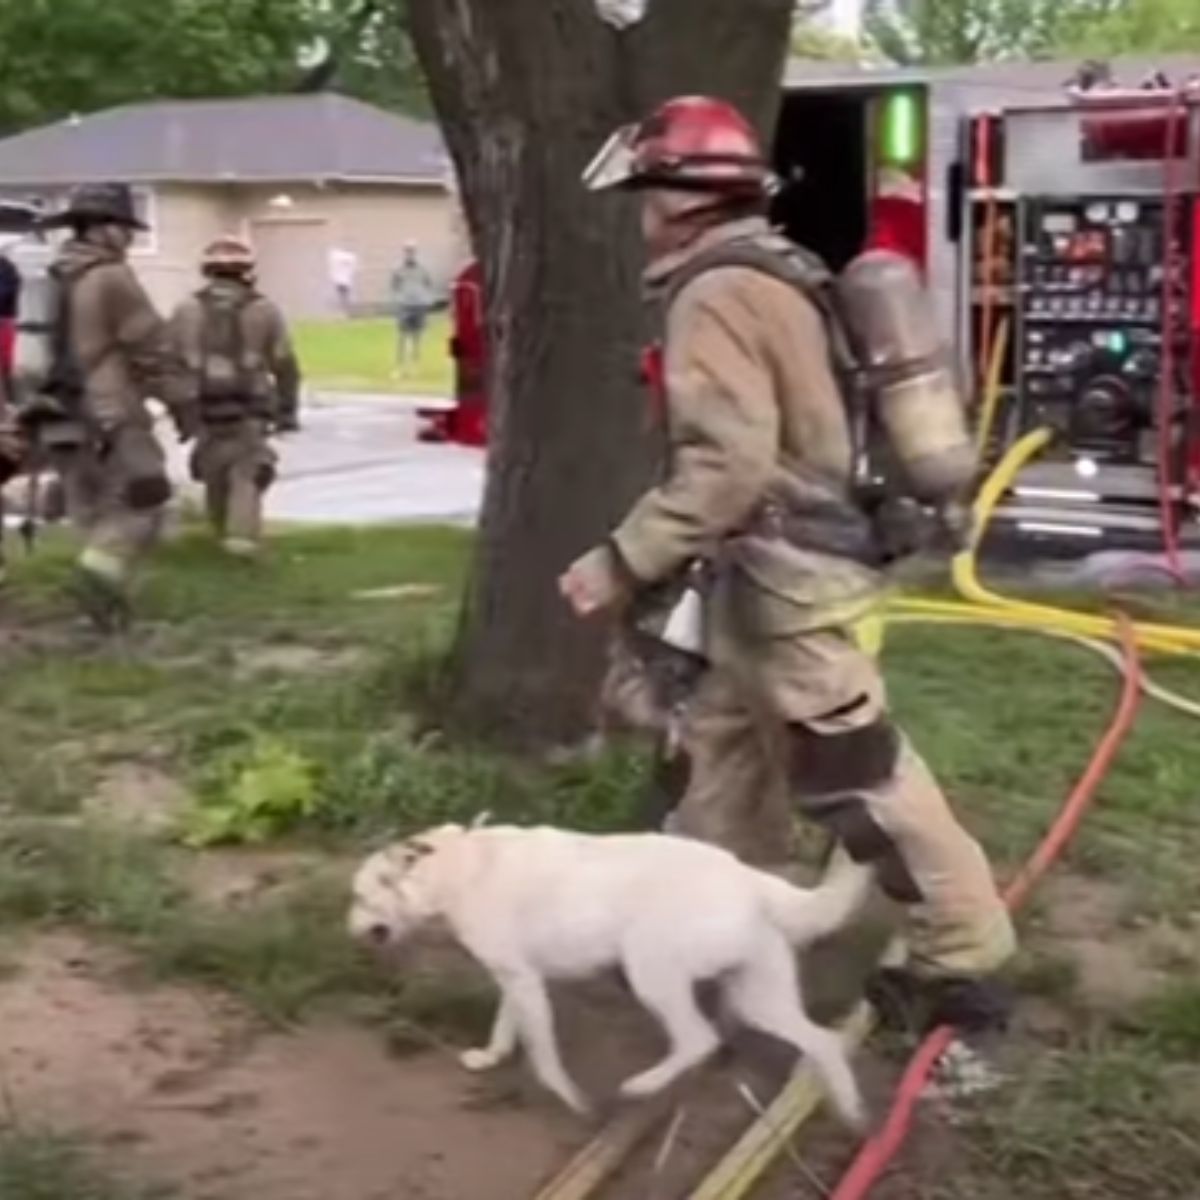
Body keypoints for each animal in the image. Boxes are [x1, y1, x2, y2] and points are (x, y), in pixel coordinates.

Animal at [348, 820, 873, 1118]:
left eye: (361, 897)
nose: (348, 929)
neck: (456, 867)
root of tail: (749, 877)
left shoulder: (523, 981)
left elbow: (544, 1057)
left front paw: (573, 1100)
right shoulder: (518, 977)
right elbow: (506, 1027)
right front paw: (490, 1057)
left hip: (650, 973)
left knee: (699, 1040)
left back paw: (642, 1086)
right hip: (757, 997)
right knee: (824, 1041)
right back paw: (851, 1112)